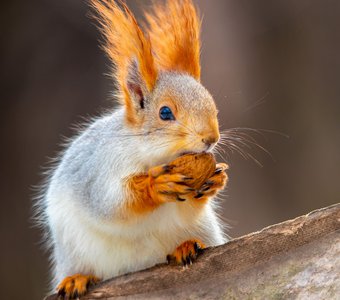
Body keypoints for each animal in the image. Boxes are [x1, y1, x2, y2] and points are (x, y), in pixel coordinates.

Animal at [36, 0, 228, 298]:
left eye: (212, 103)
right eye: (165, 113)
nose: (211, 138)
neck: (156, 157)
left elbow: (189, 208)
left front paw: (216, 179)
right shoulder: (100, 171)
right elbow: (112, 205)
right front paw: (155, 185)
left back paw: (186, 246)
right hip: (72, 251)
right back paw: (77, 278)